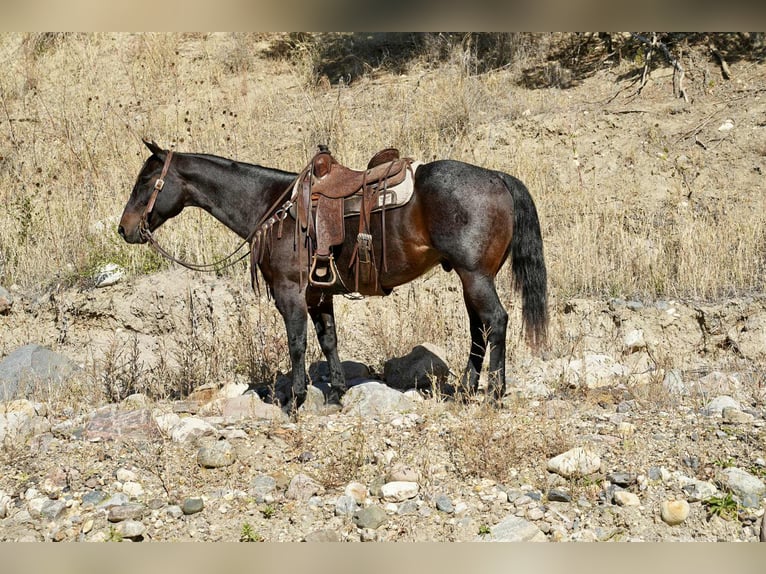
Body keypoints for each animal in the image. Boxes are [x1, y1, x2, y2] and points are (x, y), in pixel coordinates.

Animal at [119, 140, 548, 411]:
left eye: (145, 181)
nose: (125, 229)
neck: (275, 208)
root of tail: (497, 177)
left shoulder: (289, 292)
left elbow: (297, 343)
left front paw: (295, 400)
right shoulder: (318, 294)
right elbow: (328, 341)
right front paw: (337, 394)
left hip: (475, 276)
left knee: (496, 321)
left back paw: (493, 393)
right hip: (471, 277)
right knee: (478, 328)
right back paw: (467, 391)